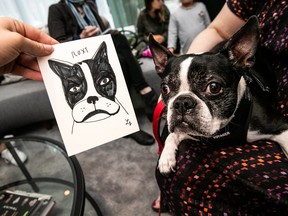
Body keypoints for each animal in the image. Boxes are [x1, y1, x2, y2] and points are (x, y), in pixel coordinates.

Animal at [150, 15, 286, 174]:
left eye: (214, 87)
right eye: (165, 88)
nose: (182, 102)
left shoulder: (280, 125)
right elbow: (171, 135)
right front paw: (166, 157)